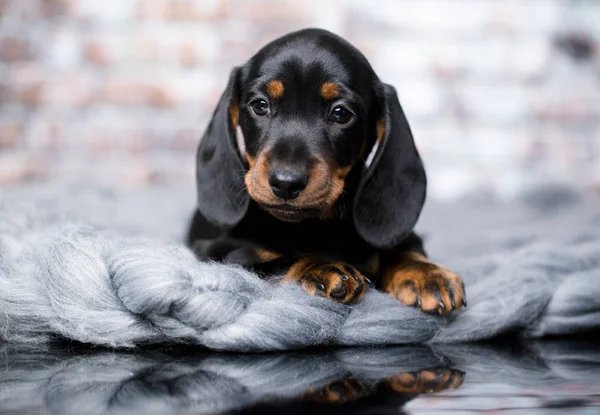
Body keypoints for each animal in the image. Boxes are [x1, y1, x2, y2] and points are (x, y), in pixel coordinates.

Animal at [185, 28, 466, 316]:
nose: (286, 183)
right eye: (260, 105)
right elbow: (272, 262)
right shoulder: (217, 254)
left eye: (341, 113)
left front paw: (424, 273)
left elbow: (403, 247)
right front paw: (320, 267)